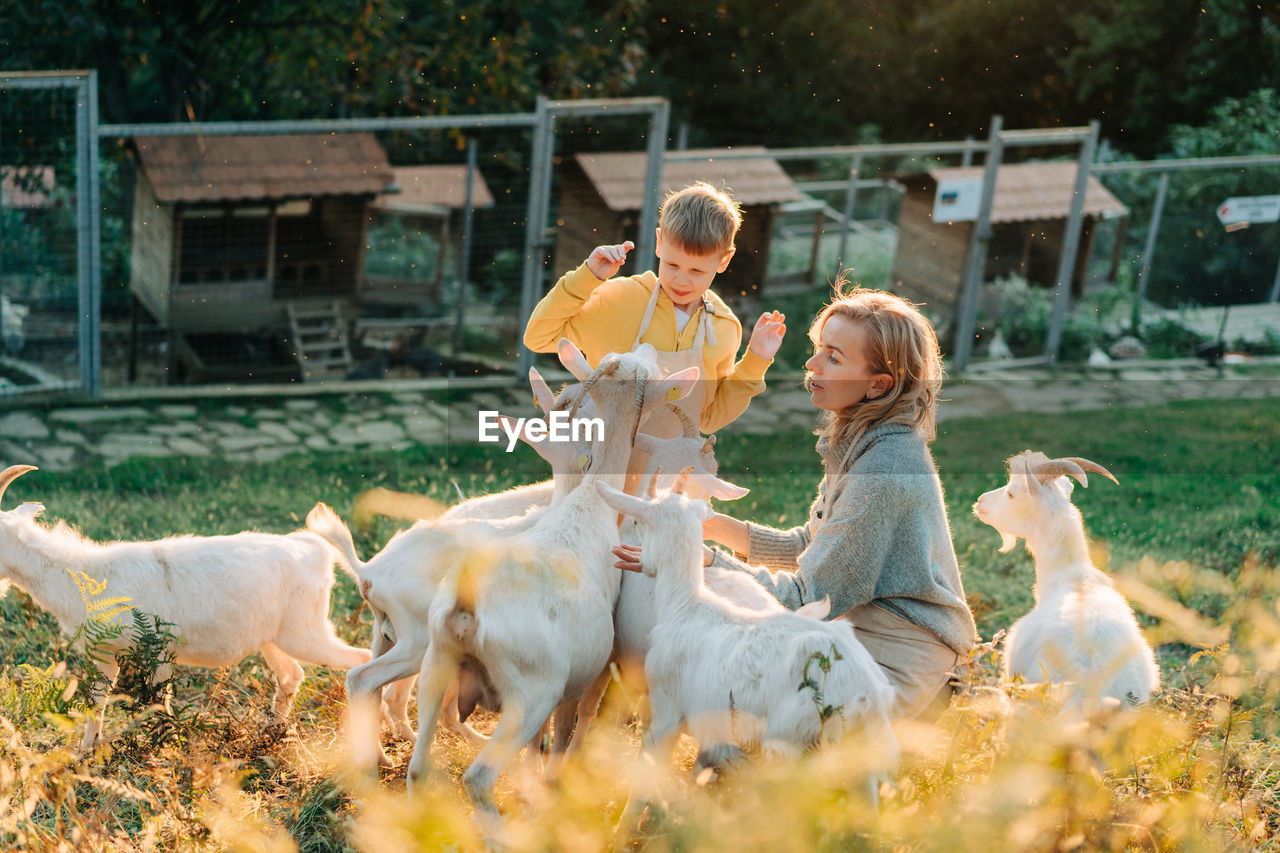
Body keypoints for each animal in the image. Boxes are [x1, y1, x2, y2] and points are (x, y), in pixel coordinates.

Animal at [0, 461, 371, 747]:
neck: (89, 575)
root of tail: (315, 549)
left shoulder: (156, 648)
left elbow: (158, 704)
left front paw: (163, 746)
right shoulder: (105, 653)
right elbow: (98, 702)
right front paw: (86, 752)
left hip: (306, 632)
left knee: (362, 660)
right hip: (273, 638)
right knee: (292, 674)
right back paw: (271, 733)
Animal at [593, 471, 896, 819]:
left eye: (637, 521)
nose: (641, 560)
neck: (686, 604)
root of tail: (867, 693)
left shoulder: (667, 706)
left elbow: (646, 772)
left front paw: (625, 823)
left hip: (788, 739)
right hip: (855, 751)